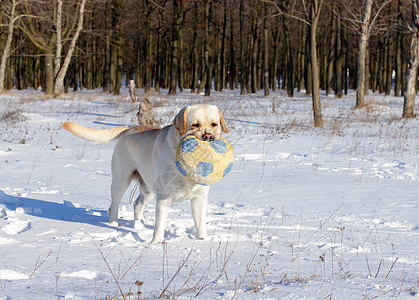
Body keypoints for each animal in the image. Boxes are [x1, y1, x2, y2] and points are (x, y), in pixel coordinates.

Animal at [61, 104, 230, 243]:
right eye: (195, 125)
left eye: (214, 124)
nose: (208, 137)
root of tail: (128, 129)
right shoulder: (164, 197)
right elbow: (159, 225)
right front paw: (155, 244)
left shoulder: (199, 197)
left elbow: (200, 225)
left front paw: (203, 241)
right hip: (121, 181)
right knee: (113, 205)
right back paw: (114, 223)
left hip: (149, 188)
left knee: (137, 205)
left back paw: (139, 224)